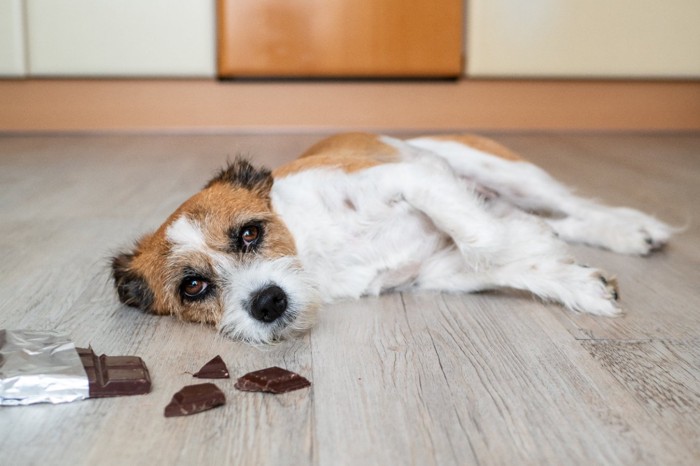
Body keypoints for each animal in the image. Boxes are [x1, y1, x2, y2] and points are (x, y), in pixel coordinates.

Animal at [110, 133, 672, 344]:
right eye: (193, 287)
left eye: (250, 233)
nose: (267, 302)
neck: (314, 249)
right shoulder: (437, 271)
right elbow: (497, 259)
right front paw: (575, 282)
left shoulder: (412, 176)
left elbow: (483, 238)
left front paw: (530, 246)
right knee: (559, 219)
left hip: (502, 170)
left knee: (573, 206)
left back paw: (634, 228)